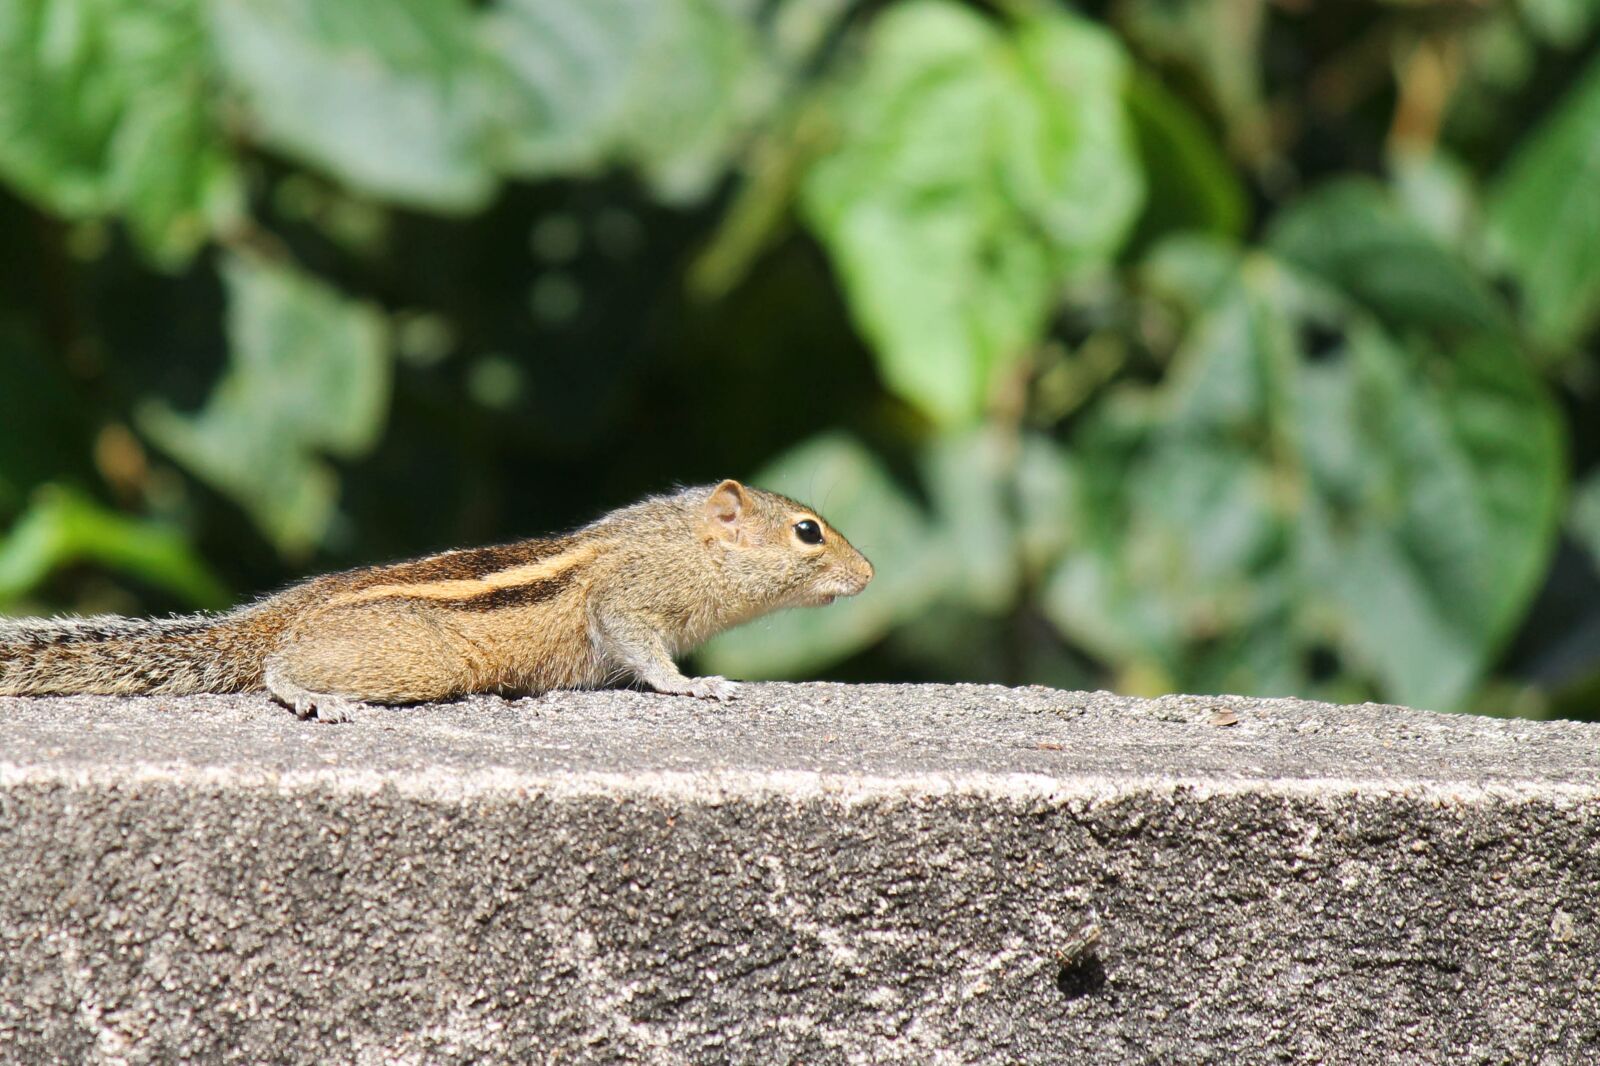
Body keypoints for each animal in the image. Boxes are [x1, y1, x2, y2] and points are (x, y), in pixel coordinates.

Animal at [0, 481, 873, 722]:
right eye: (807, 531)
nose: (867, 574)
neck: (685, 543)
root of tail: (274, 615)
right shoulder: (630, 600)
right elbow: (643, 652)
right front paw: (695, 686)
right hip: (422, 655)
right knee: (277, 669)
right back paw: (312, 697)